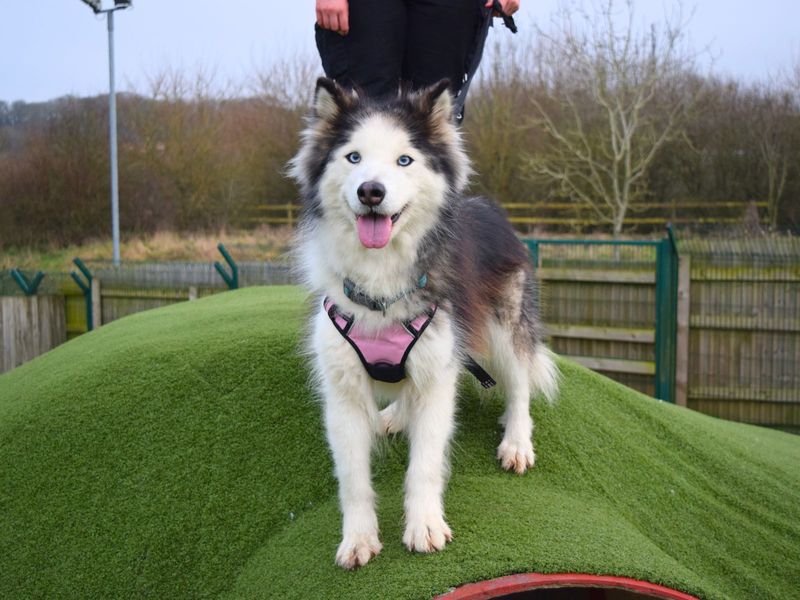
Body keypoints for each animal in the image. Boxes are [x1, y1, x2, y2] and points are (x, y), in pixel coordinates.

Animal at [290, 77, 560, 568]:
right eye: (353, 157)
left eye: (404, 160)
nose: (371, 192)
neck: (380, 282)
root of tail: (490, 208)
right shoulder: (342, 390)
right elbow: (352, 477)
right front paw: (358, 538)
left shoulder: (439, 374)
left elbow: (426, 464)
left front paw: (425, 525)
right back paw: (395, 416)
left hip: (505, 327)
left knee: (519, 387)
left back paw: (516, 443)